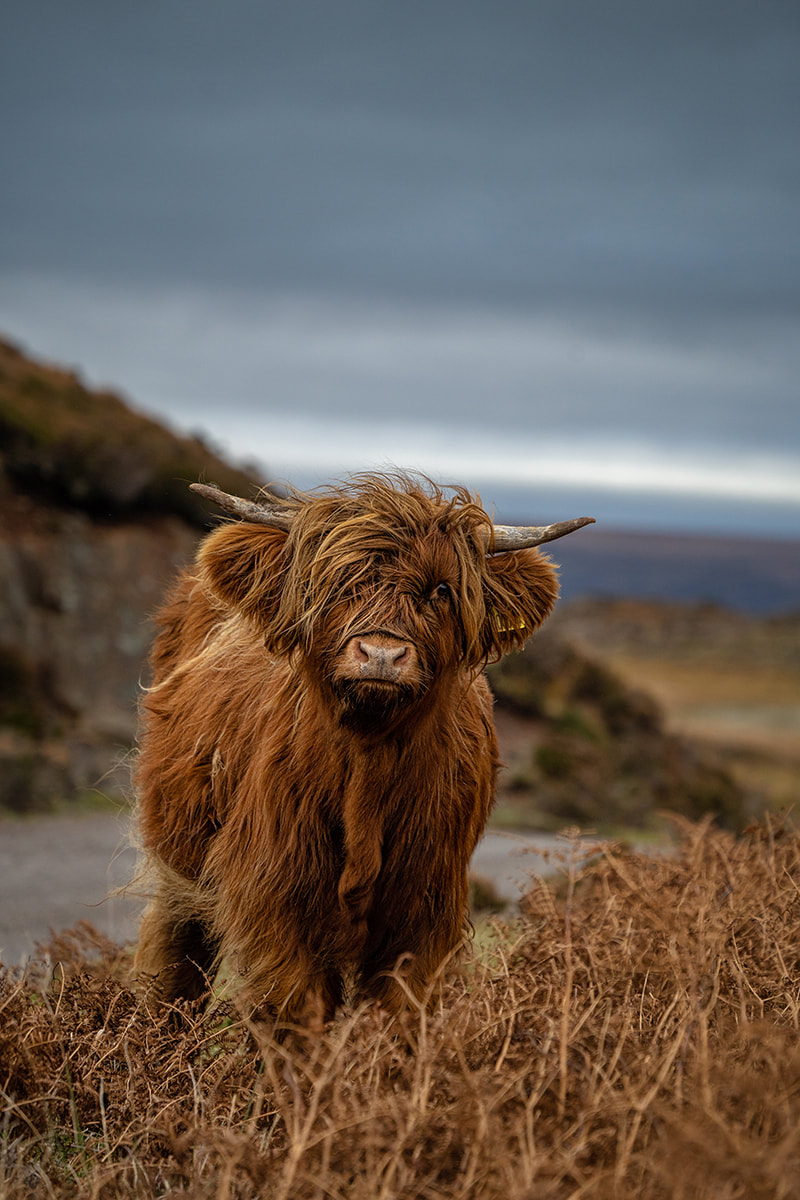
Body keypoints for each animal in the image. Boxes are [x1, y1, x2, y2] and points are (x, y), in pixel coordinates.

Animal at [134, 473, 592, 1027]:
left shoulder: (424, 910)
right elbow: (297, 1010)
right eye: (334, 584)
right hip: (178, 857)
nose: (381, 655)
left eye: (441, 589)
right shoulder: (277, 900)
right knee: (175, 949)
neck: (367, 761)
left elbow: (398, 1013)